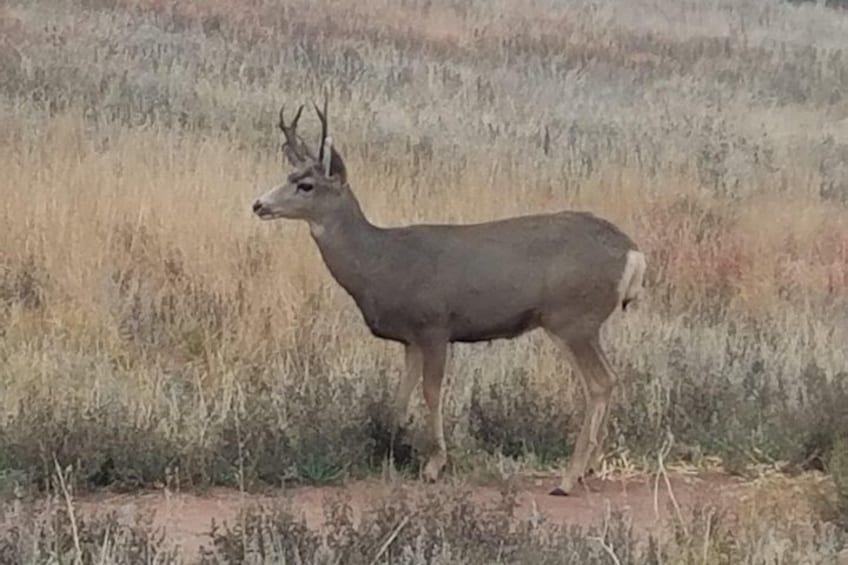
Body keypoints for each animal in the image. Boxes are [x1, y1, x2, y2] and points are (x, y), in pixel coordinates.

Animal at [251, 97, 647, 496]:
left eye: (306, 185)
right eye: (288, 176)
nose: (258, 205)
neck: (381, 262)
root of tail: (633, 253)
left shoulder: (435, 325)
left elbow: (431, 390)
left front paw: (433, 465)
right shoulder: (409, 338)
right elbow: (399, 399)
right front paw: (393, 450)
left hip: (571, 318)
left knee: (600, 382)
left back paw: (567, 478)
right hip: (583, 323)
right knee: (611, 379)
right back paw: (589, 467)